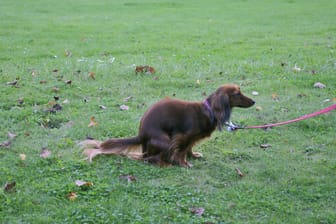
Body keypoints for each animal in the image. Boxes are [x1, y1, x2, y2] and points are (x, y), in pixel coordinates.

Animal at [81, 85, 255, 167]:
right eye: (237, 94)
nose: (254, 101)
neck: (209, 110)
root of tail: (141, 134)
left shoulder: (191, 138)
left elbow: (189, 148)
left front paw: (193, 155)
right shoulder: (182, 136)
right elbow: (182, 151)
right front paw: (184, 163)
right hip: (166, 141)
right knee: (149, 158)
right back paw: (166, 163)